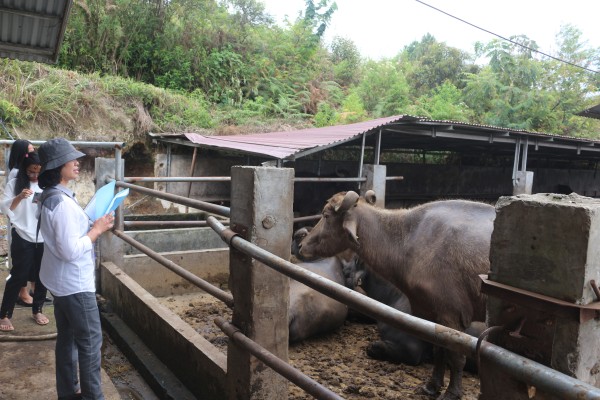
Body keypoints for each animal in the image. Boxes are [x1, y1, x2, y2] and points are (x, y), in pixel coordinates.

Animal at [298, 191, 494, 400]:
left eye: (326, 215)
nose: (302, 245)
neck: (409, 239)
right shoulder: (432, 315)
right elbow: (438, 351)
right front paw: (432, 386)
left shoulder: (452, 316)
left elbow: (455, 357)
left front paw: (451, 393)